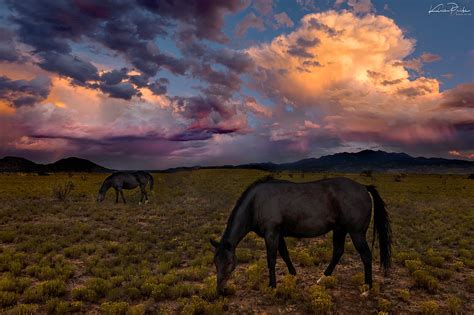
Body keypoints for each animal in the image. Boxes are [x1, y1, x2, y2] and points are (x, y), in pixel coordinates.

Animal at [209, 177, 390, 298]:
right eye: (215, 262)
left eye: (230, 263)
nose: (220, 291)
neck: (256, 203)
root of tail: (364, 188)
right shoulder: (278, 234)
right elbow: (285, 254)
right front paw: (293, 275)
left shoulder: (271, 234)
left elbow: (272, 259)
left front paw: (272, 286)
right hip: (340, 230)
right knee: (338, 252)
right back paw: (322, 279)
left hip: (356, 233)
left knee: (366, 256)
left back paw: (367, 289)